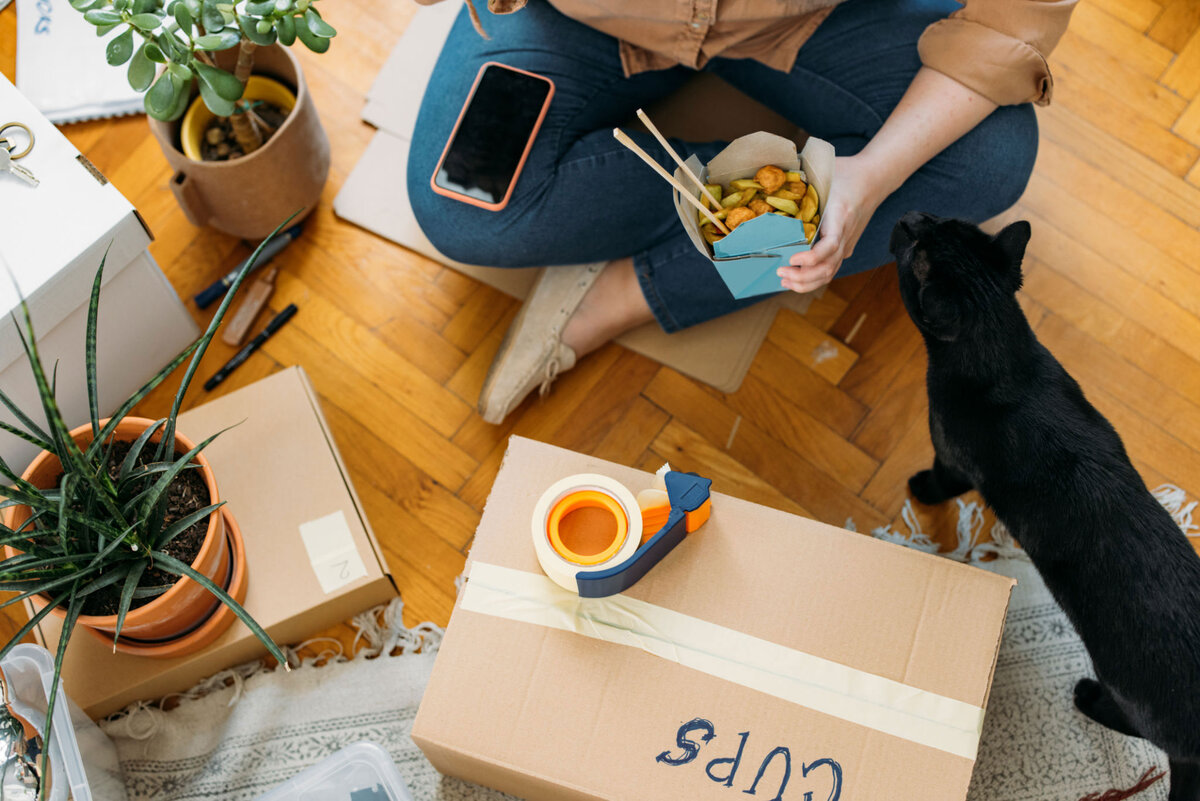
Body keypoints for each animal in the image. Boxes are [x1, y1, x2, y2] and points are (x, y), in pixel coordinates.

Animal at [888, 212, 1200, 801]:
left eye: (915, 249)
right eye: (941, 221)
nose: (909, 216)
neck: (1004, 356)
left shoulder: (952, 457)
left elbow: (941, 480)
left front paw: (920, 488)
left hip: (1130, 692)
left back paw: (1088, 697)